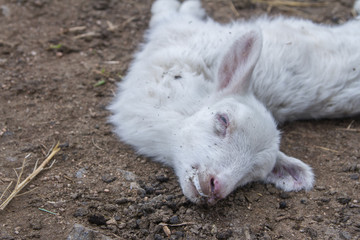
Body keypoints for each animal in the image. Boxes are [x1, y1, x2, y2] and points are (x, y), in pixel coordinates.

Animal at [109, 0, 360, 203]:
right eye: (223, 119)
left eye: (254, 173)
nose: (215, 186)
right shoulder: (177, 34)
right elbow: (169, 12)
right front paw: (187, 4)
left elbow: (169, 13)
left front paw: (186, 5)